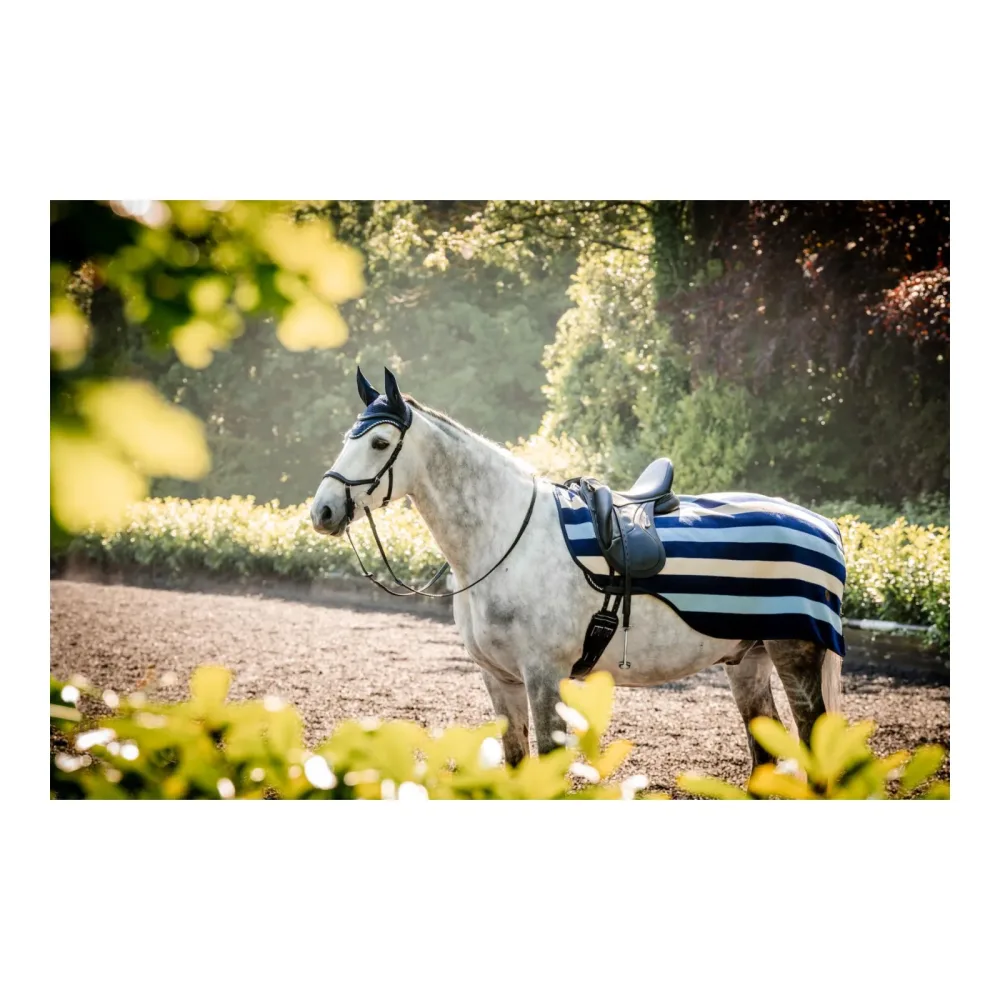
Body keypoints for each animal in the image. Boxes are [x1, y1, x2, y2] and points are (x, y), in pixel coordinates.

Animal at [309, 366, 844, 772]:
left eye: (380, 443)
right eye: (348, 438)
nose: (324, 511)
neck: (506, 538)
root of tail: (823, 524)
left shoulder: (545, 676)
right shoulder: (500, 681)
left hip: (794, 656)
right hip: (747, 660)